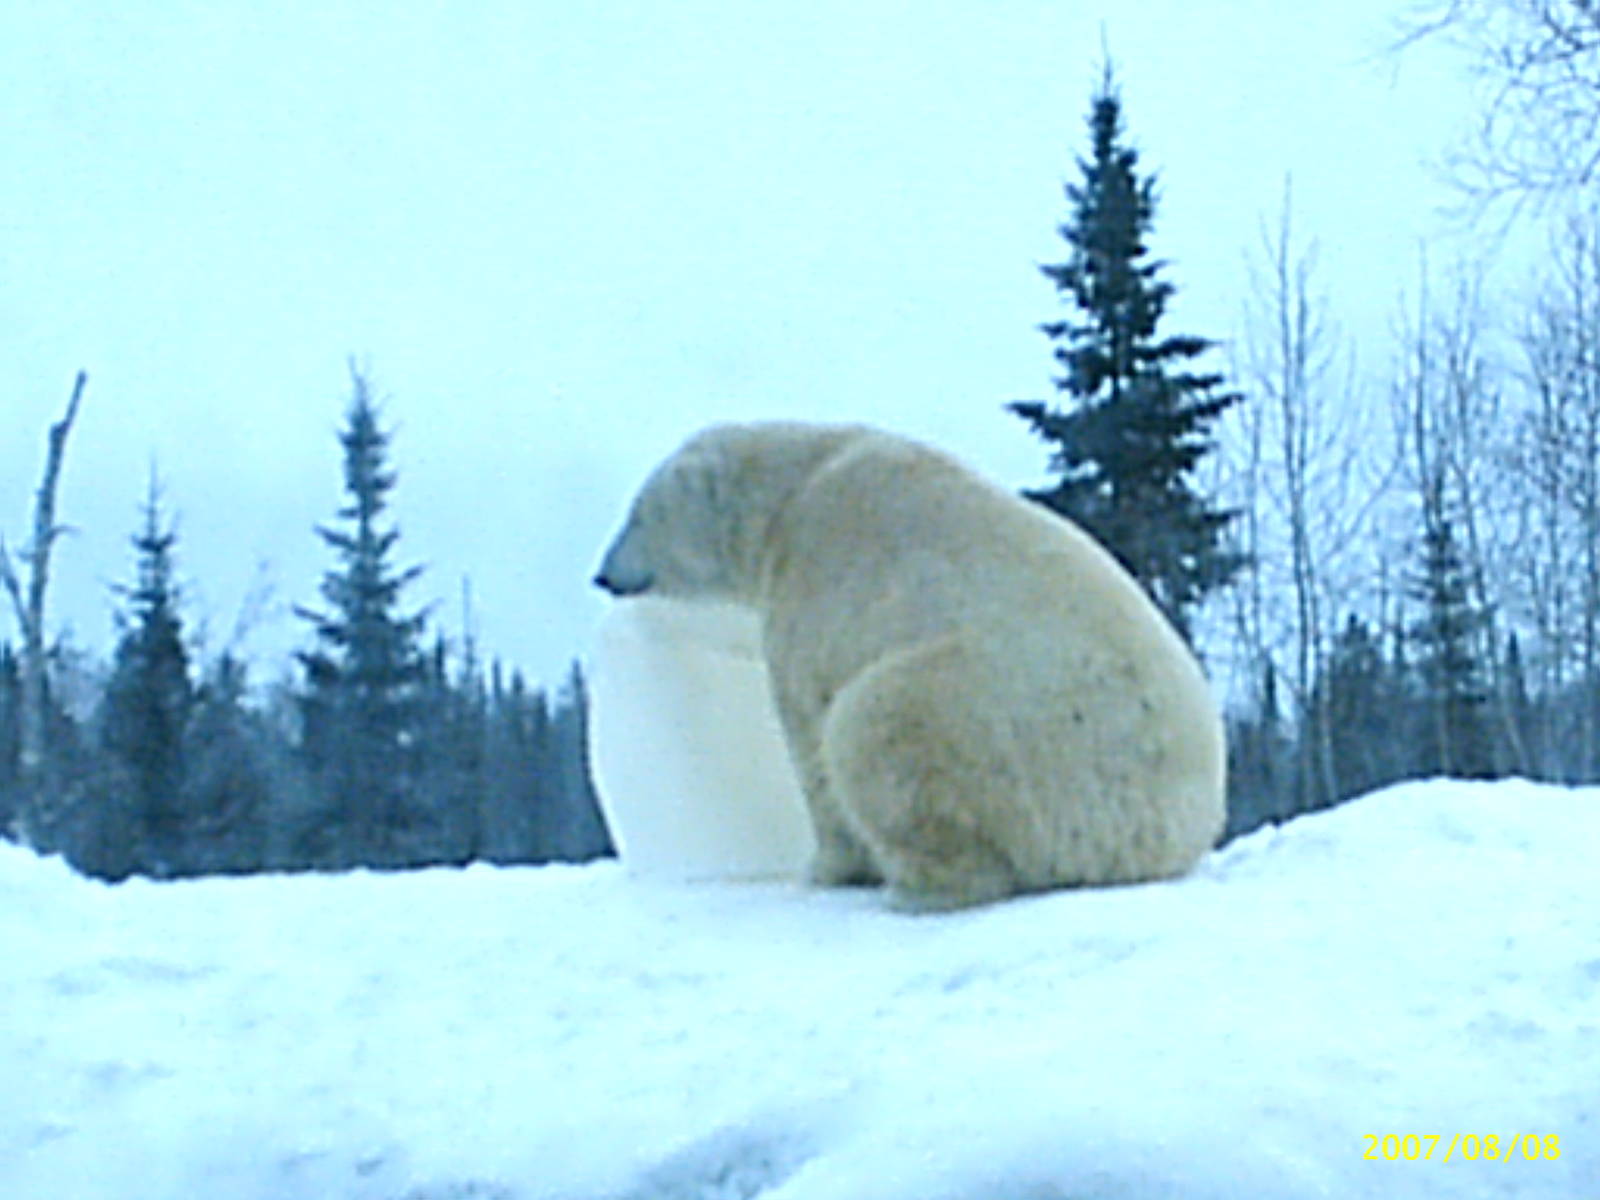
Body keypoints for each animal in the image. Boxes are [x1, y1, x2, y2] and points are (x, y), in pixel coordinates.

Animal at [593, 421, 1226, 911]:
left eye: (636, 515)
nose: (602, 573)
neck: (794, 488)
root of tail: (1153, 833)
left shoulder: (812, 582)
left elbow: (808, 733)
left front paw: (827, 867)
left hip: (997, 722)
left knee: (877, 726)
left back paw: (916, 888)